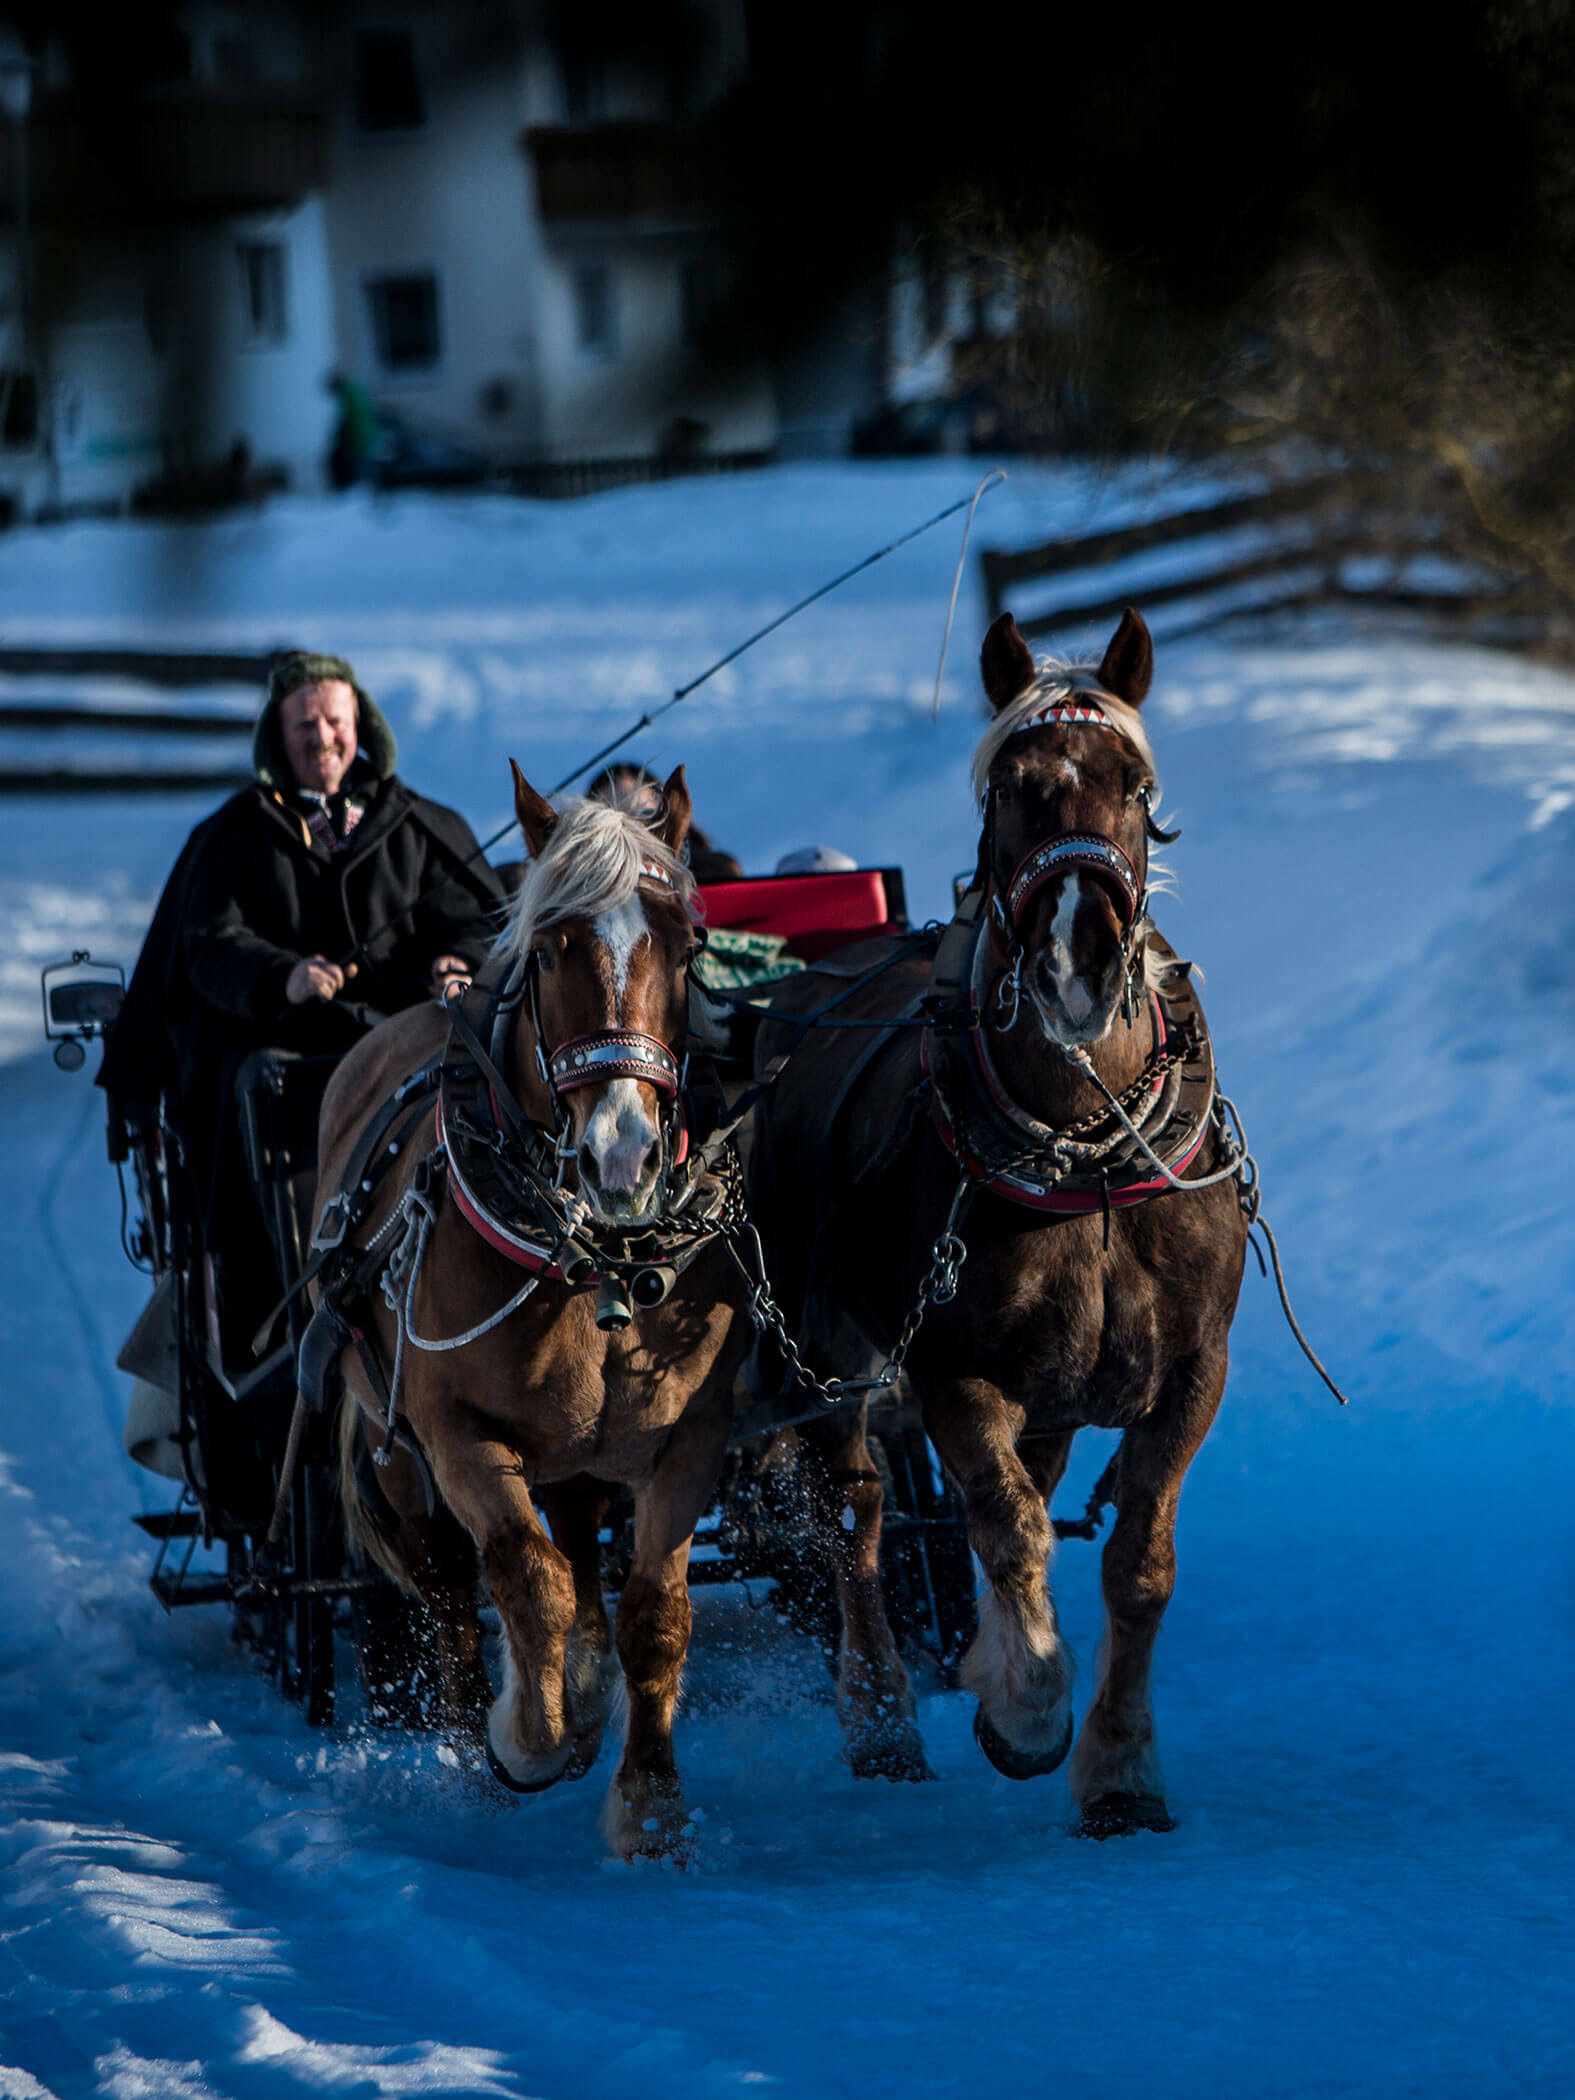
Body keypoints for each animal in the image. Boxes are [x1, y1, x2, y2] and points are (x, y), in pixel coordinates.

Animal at [316, 763, 752, 1860]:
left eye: (685, 944)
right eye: (552, 947)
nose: (622, 1156)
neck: (587, 1262)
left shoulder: (692, 1431)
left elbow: (654, 1613)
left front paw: (650, 1807)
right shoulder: (455, 1433)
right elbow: (527, 1578)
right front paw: (530, 1734)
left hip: (585, 1448)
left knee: (583, 1532)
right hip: (394, 1445)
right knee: (447, 1586)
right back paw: (484, 1747)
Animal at [747, 607, 1248, 1834]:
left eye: (1135, 784)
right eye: (1010, 788)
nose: (1078, 960)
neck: (1088, 1150)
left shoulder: (1192, 1372)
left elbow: (1137, 1564)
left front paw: (1120, 1769)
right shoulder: (952, 1372)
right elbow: (1007, 1525)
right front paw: (1025, 1709)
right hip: (827, 1356)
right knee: (859, 1518)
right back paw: (881, 1718)